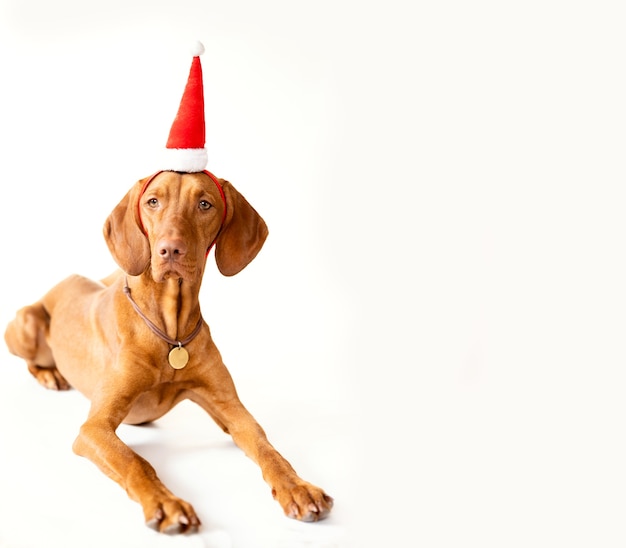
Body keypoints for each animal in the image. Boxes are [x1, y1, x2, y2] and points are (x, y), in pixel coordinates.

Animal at [3, 169, 332, 532]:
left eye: (204, 204)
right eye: (152, 201)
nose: (170, 249)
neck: (170, 333)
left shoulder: (233, 411)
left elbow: (269, 449)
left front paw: (298, 487)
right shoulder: (94, 428)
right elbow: (135, 461)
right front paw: (165, 503)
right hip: (27, 325)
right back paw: (50, 374)